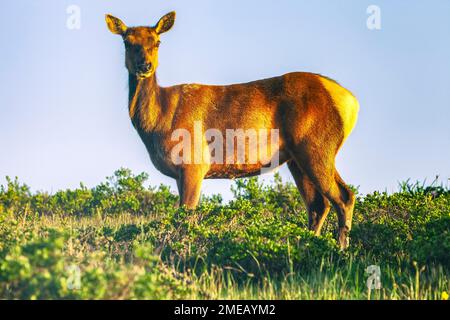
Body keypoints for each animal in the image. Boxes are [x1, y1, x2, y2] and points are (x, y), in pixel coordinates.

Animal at [104, 11, 358, 248]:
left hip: (316, 146)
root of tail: (351, 101)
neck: (159, 122)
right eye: (127, 42)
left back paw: (341, 250)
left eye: (157, 42)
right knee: (318, 205)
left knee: (344, 196)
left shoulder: (194, 162)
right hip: (298, 157)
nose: (144, 66)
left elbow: (186, 216)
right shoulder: (180, 172)